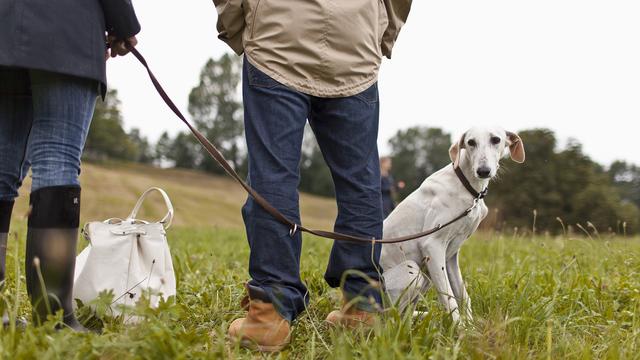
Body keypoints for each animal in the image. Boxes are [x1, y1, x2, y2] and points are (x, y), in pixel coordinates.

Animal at [380, 127, 524, 324]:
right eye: (471, 142)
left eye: (496, 140)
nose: (483, 171)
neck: (468, 188)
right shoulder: (432, 247)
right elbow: (449, 299)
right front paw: (460, 329)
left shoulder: (450, 255)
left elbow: (463, 296)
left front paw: (471, 326)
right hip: (411, 271)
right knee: (392, 319)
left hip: (425, 277)